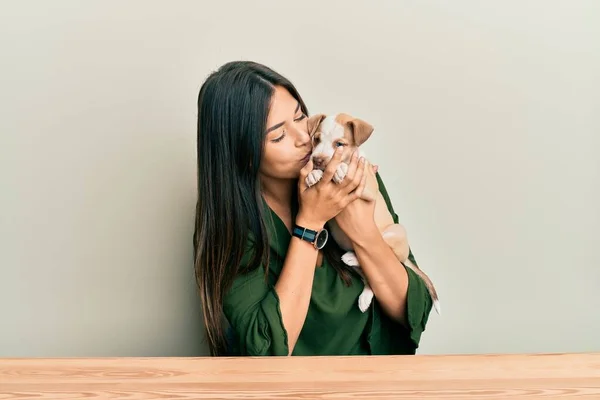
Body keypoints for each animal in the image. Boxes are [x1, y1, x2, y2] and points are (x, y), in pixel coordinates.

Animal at [304, 113, 440, 316]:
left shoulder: (367, 188)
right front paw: (313, 175)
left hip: (396, 232)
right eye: (316, 139)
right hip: (363, 269)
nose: (317, 160)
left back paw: (353, 257)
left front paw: (340, 170)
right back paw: (364, 296)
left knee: (386, 251)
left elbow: (343, 168)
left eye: (339, 144)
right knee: (370, 279)